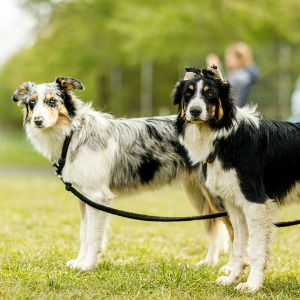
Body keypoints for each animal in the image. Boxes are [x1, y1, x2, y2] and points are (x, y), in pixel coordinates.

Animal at [12, 77, 232, 272]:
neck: (74, 135)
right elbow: (84, 234)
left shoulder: (97, 197)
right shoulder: (84, 197)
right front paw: (80, 261)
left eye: (52, 101)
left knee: (235, 231)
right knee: (214, 229)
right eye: (32, 103)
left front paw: (88, 265)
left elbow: (93, 236)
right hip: (200, 196)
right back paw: (209, 263)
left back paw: (232, 272)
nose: (38, 121)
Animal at [172, 66, 300, 292]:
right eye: (188, 94)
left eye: (210, 94)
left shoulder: (255, 203)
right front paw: (233, 278)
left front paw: (252, 285)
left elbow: (256, 249)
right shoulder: (234, 206)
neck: (225, 139)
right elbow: (239, 245)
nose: (194, 111)